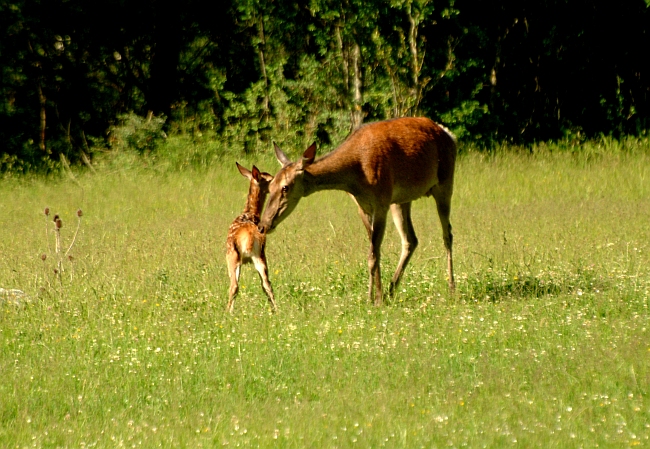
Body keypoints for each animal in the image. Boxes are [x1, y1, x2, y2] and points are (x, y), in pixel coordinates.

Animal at [225, 163, 276, 314]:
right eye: (270, 178)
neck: (250, 212)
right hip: (259, 255)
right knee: (267, 284)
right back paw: (276, 310)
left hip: (232, 255)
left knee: (234, 285)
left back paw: (227, 312)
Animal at [258, 115, 456, 304]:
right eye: (270, 185)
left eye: (285, 187)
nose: (262, 225)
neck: (355, 174)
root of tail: (449, 135)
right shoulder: (363, 206)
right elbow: (375, 252)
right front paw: (379, 296)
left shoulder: (381, 201)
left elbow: (372, 255)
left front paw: (372, 299)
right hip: (401, 200)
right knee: (410, 240)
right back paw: (391, 290)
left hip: (445, 183)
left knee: (447, 235)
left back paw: (451, 288)